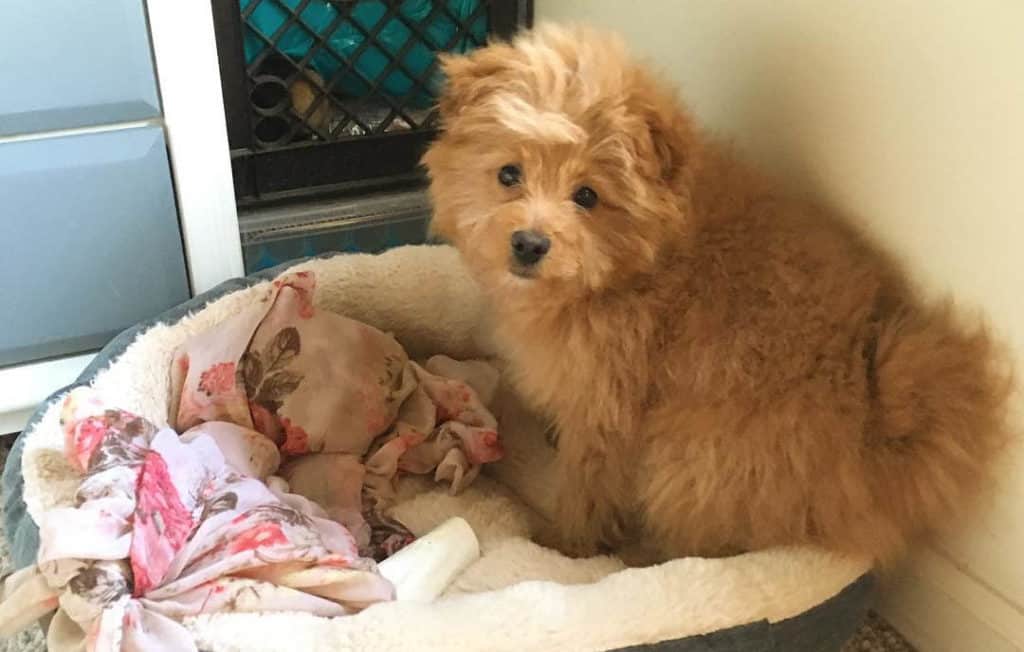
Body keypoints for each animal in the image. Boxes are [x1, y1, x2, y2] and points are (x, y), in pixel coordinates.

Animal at [423, 24, 1015, 564]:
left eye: (587, 196)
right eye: (508, 174)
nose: (529, 243)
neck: (636, 266)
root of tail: (869, 415)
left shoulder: (608, 402)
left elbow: (588, 485)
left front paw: (564, 545)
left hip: (691, 464)